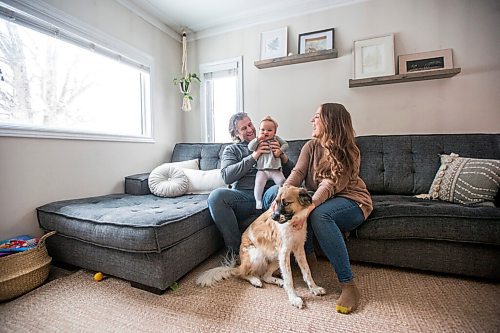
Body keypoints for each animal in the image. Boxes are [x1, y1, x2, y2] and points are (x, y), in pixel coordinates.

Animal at [195, 183, 324, 308]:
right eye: (276, 202)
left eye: (286, 203)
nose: (273, 217)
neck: (292, 223)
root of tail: (240, 264)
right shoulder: (284, 252)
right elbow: (289, 278)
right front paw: (293, 298)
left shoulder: (298, 249)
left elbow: (307, 271)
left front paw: (314, 288)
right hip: (258, 255)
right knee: (242, 274)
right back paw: (255, 280)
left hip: (276, 258)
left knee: (265, 276)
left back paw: (278, 281)